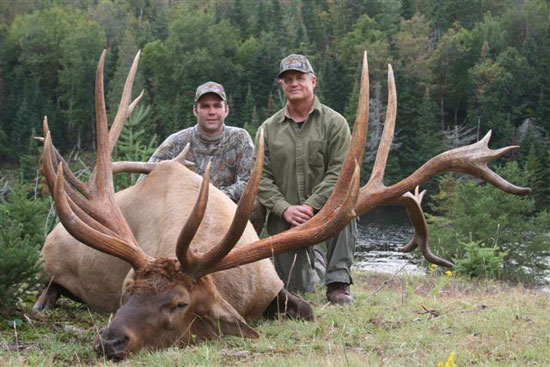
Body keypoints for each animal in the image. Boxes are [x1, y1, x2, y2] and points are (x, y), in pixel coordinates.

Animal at [33, 50, 532, 360]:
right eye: (125, 292)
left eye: (178, 303)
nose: (110, 341)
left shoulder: (275, 289)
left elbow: (308, 310)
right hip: (51, 264)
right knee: (48, 291)